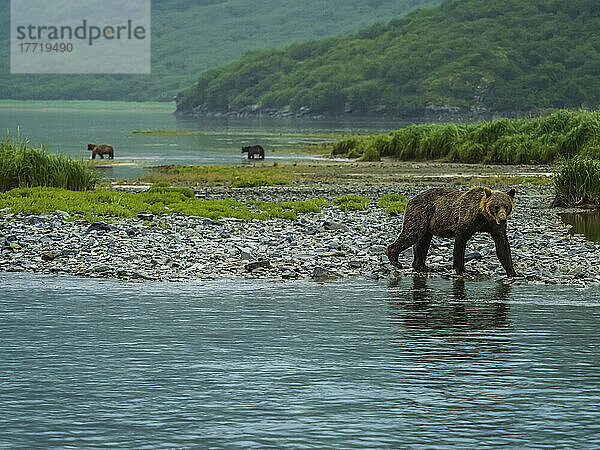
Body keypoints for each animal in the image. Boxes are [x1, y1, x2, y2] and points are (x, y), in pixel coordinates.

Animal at [386, 186, 516, 278]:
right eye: (496, 206)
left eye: (506, 206)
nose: (503, 219)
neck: (484, 216)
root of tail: (410, 200)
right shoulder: (466, 220)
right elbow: (460, 243)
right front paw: (460, 269)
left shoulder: (495, 226)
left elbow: (502, 246)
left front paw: (513, 273)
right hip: (420, 214)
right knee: (412, 233)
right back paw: (396, 261)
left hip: (427, 224)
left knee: (422, 242)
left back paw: (422, 266)